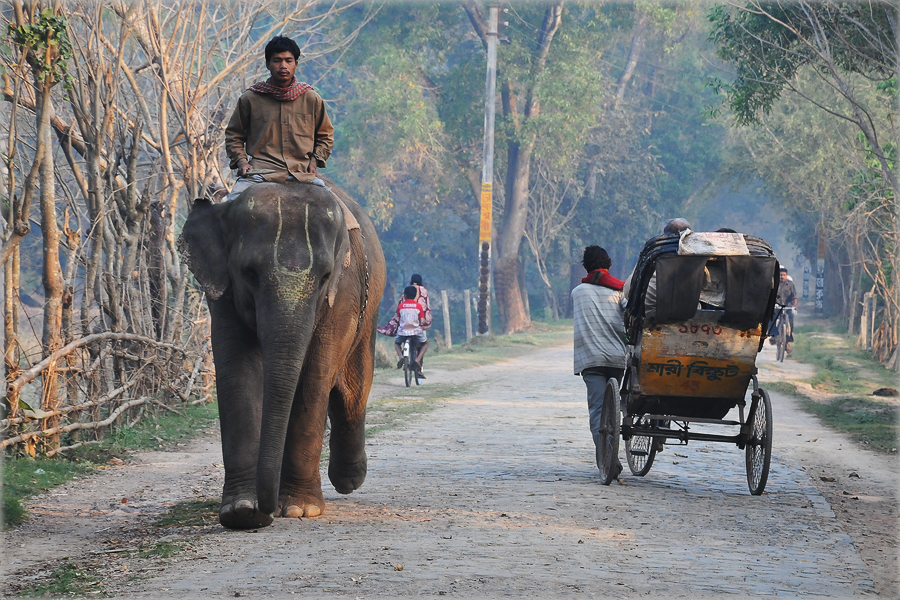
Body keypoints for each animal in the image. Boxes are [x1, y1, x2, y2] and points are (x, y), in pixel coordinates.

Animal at [178, 179, 384, 528]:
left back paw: (348, 480)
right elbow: (238, 371)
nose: (265, 510)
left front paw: (300, 509)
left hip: (369, 310)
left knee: (352, 393)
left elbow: (315, 375)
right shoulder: (223, 294)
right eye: (249, 273)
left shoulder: (343, 293)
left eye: (325, 277)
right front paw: (242, 512)